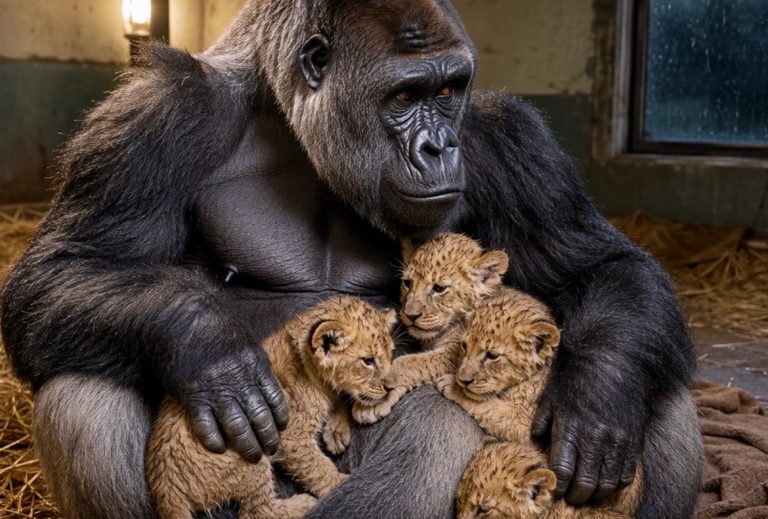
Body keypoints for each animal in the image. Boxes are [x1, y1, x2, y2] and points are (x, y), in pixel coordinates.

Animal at [146, 296, 398, 519]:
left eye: (391, 353)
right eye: (368, 360)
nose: (391, 386)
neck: (308, 366)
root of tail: (165, 486)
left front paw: (336, 431)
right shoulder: (291, 437)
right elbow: (318, 468)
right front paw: (340, 485)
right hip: (248, 449)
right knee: (256, 512)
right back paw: (303, 503)